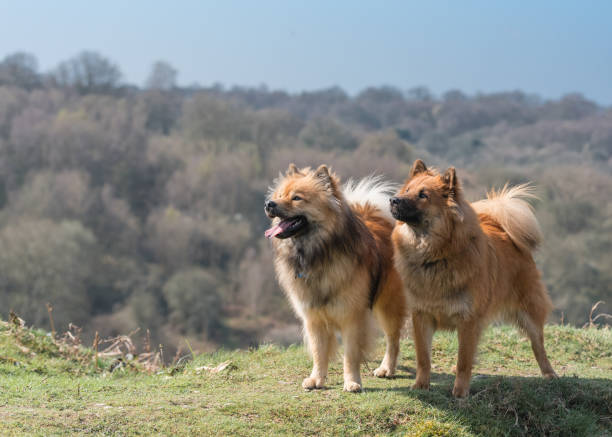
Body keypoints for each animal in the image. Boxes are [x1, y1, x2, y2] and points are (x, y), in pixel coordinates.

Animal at [262, 164, 406, 392]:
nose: (269, 203)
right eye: (279, 195)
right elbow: (319, 353)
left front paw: (352, 381)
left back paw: (387, 369)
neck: (317, 254)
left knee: (393, 339)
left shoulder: (352, 317)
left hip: (388, 304)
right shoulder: (313, 318)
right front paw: (316, 379)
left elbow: (351, 355)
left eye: (296, 198)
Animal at [390, 159, 556, 396]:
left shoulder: (467, 319)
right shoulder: (421, 316)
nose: (393, 200)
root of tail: (501, 227)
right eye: (406, 191)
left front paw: (460, 391)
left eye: (423, 195)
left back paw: (549, 373)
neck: (436, 256)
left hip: (529, 312)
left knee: (538, 345)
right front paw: (421, 385)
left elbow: (464, 360)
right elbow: (424, 358)